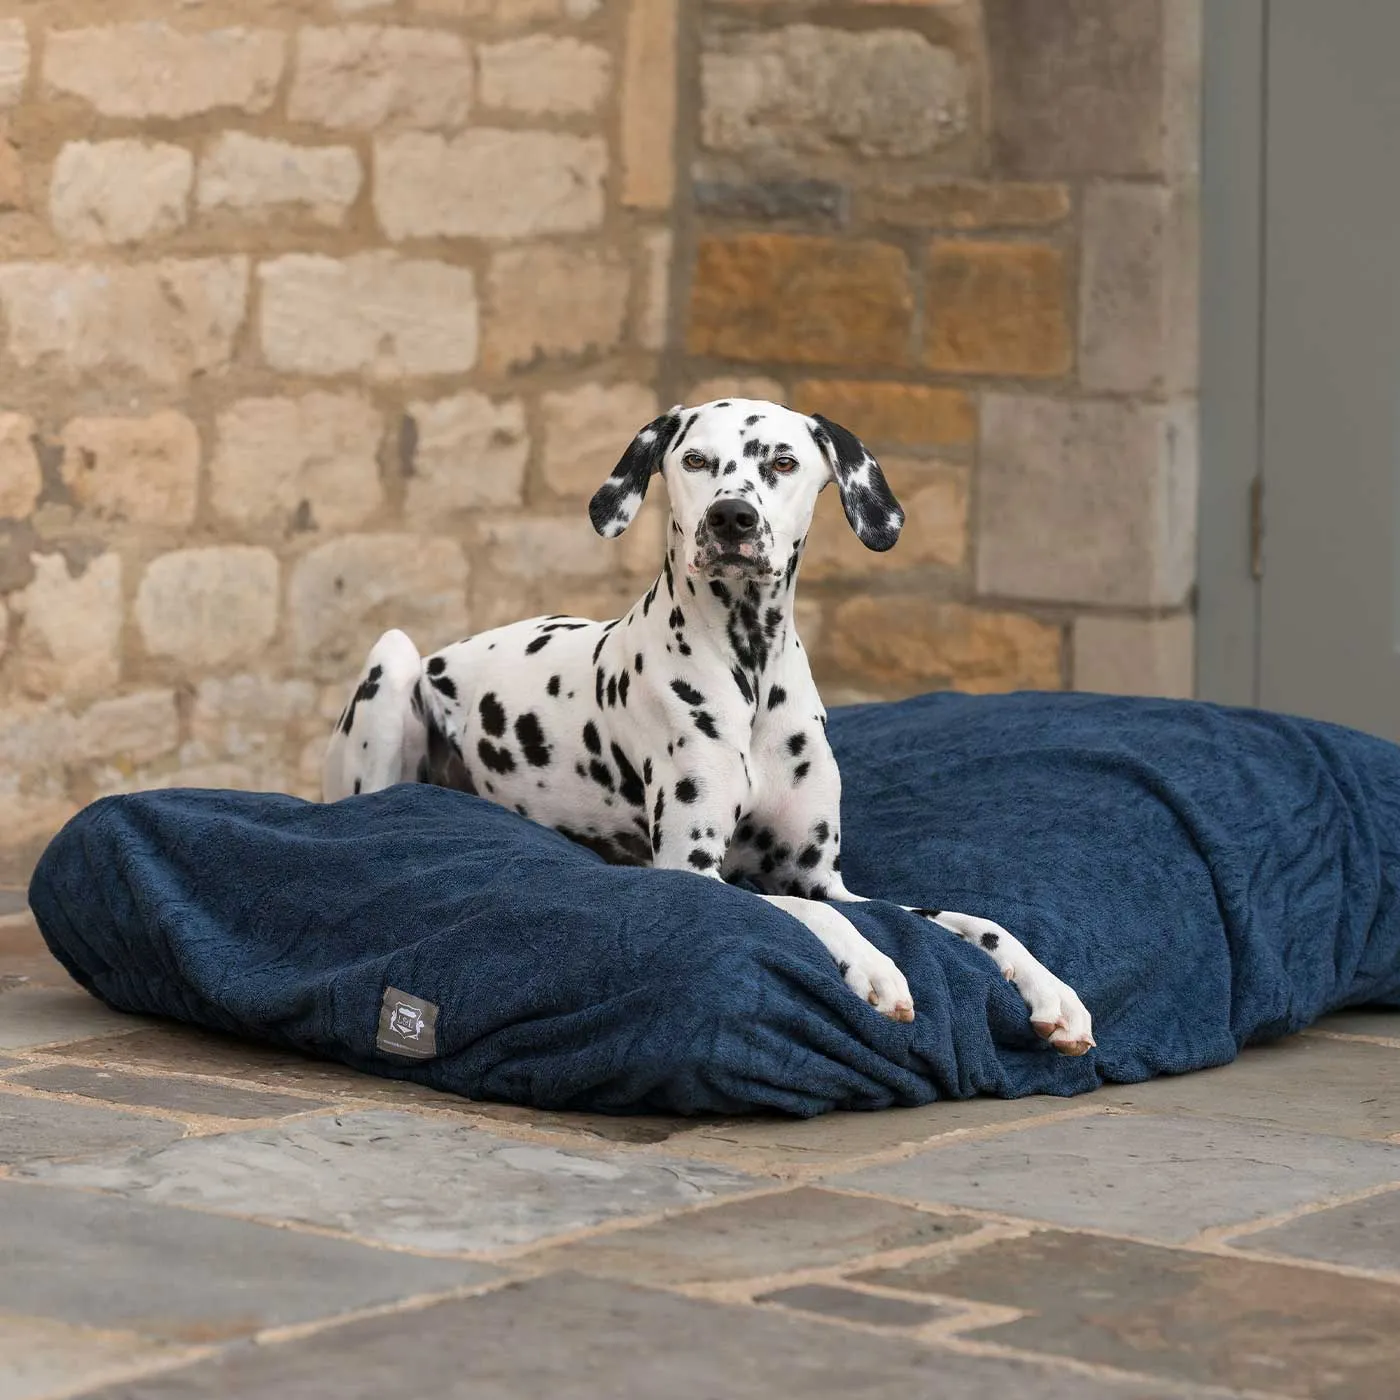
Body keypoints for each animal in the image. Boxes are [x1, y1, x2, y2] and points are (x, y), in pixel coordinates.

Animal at [324, 400, 1092, 1052]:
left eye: (782, 462)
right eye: (694, 460)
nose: (732, 518)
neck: (748, 666)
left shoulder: (824, 877)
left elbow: (971, 921)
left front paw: (1053, 991)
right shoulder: (695, 871)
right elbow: (806, 915)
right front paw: (875, 967)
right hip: (393, 659)